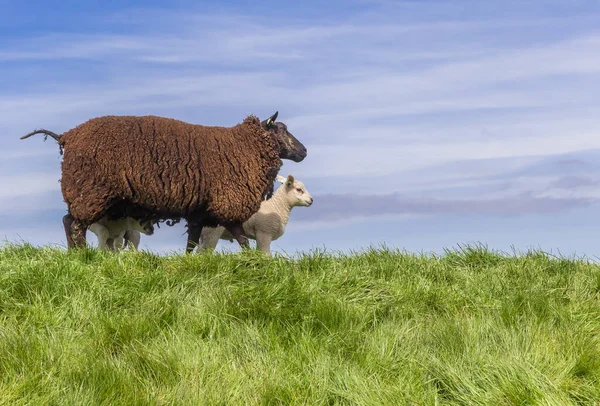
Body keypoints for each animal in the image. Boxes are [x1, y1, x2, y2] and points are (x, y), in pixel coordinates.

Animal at [21, 112, 308, 251]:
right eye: (281, 130)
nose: (304, 151)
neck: (245, 146)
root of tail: (67, 135)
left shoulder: (200, 211)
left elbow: (192, 243)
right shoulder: (227, 203)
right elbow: (243, 241)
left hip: (88, 194)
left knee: (68, 221)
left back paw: (74, 255)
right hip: (90, 191)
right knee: (74, 225)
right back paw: (82, 256)